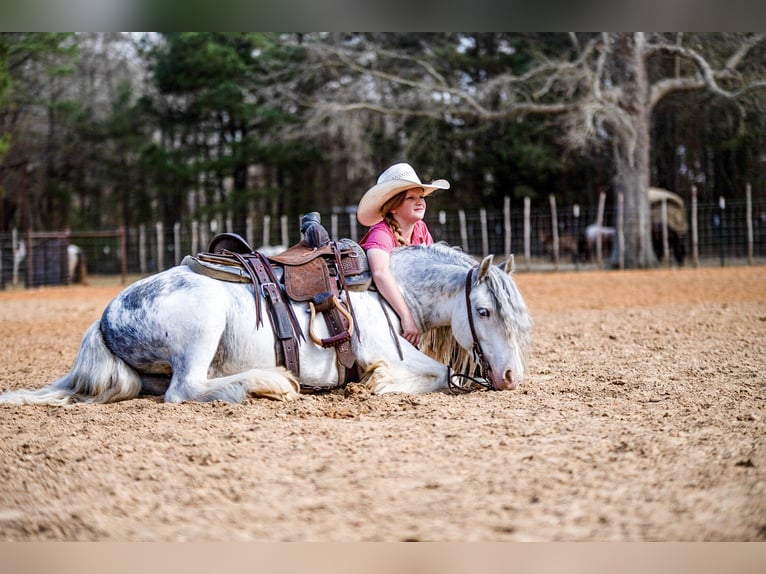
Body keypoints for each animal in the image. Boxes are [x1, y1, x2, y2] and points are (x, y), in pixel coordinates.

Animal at [0, 242, 531, 405]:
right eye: (484, 311)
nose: (511, 377)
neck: (390, 291)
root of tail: (106, 316)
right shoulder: (387, 350)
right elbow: (438, 374)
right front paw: (377, 384)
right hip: (204, 323)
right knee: (185, 389)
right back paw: (272, 382)